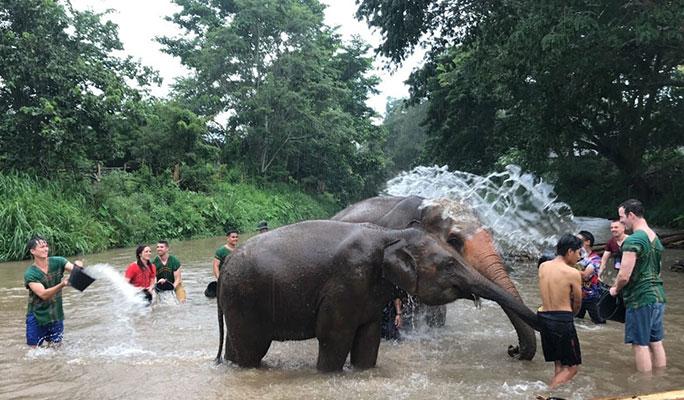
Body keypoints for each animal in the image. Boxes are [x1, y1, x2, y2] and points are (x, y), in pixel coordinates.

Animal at [215, 220, 541, 372]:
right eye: (449, 264)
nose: (512, 349)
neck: (391, 234)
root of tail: (227, 262)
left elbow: (368, 338)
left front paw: (362, 370)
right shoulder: (347, 280)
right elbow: (334, 335)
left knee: (236, 348)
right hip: (245, 299)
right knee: (252, 349)